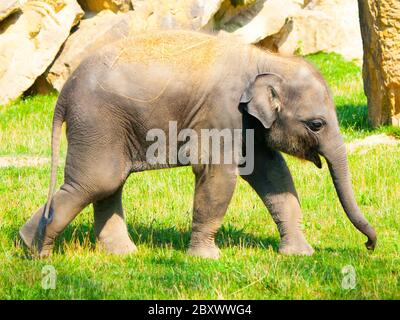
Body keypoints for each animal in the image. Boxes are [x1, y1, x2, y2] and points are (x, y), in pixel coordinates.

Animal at [20, 30, 376, 258]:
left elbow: (273, 174)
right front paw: (206, 258)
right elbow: (218, 174)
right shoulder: (222, 112)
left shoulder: (247, 122)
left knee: (108, 183)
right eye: (317, 124)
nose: (369, 246)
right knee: (97, 181)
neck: (265, 60)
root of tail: (64, 93)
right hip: (97, 121)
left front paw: (300, 254)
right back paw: (38, 253)